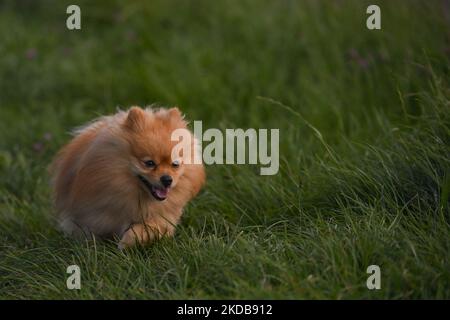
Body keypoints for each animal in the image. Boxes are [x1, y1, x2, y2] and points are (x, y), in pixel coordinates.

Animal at [49, 106, 206, 249]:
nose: (167, 179)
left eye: (175, 164)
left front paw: (127, 242)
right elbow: (90, 231)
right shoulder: (93, 215)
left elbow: (147, 228)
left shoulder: (162, 216)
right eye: (149, 163)